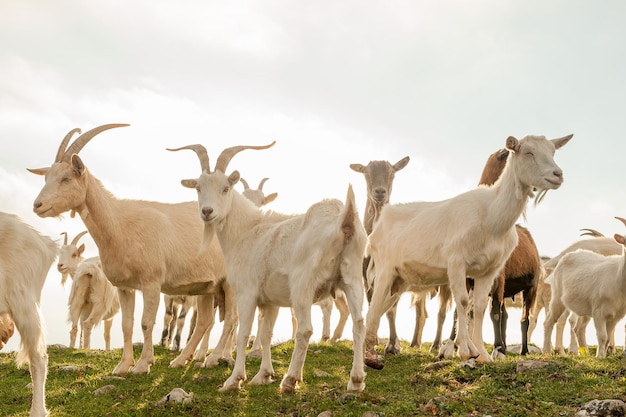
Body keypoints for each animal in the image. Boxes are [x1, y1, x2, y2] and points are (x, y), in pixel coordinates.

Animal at [27, 123, 236, 374]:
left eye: (66, 177)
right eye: (47, 177)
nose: (37, 205)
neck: (120, 224)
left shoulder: (151, 282)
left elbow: (146, 323)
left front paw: (144, 364)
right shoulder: (124, 287)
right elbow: (127, 325)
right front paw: (123, 366)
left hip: (230, 282)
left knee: (232, 318)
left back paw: (214, 358)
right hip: (207, 287)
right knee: (205, 320)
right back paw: (181, 359)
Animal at [360, 133, 572, 368]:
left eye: (553, 151)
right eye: (528, 152)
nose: (558, 175)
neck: (491, 215)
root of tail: (378, 226)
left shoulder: (490, 271)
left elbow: (479, 307)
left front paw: (482, 353)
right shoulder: (456, 264)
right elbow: (462, 302)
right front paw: (464, 350)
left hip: (400, 279)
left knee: (381, 309)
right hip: (384, 270)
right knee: (373, 309)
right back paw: (368, 358)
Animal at [540, 214, 624, 358]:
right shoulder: (599, 309)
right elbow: (603, 334)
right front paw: (603, 354)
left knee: (573, 325)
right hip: (561, 298)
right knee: (554, 321)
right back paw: (551, 351)